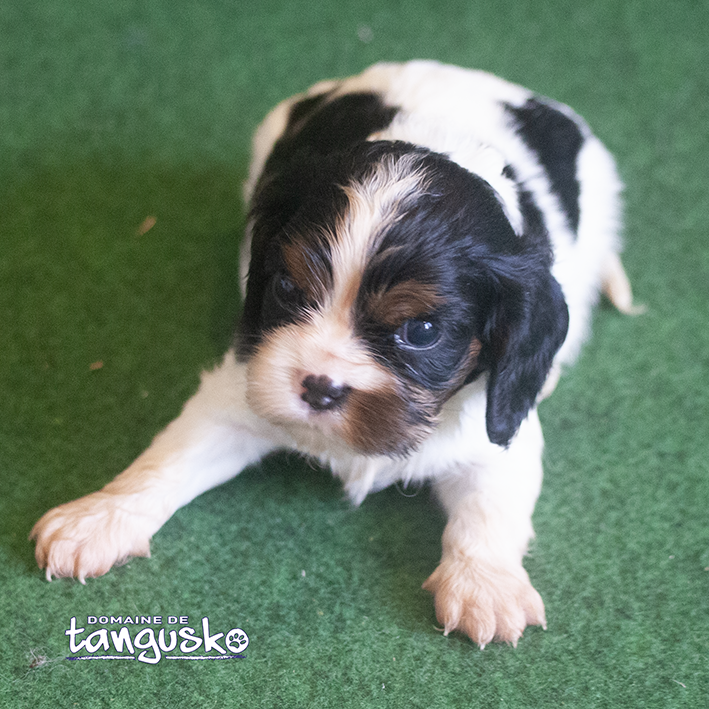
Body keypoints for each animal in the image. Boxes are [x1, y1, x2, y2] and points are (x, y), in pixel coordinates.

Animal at [31, 60, 636, 648]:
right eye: (286, 289)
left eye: (422, 330)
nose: (320, 388)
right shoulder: (244, 384)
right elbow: (171, 458)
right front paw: (101, 516)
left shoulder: (495, 429)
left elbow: (491, 505)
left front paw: (485, 584)